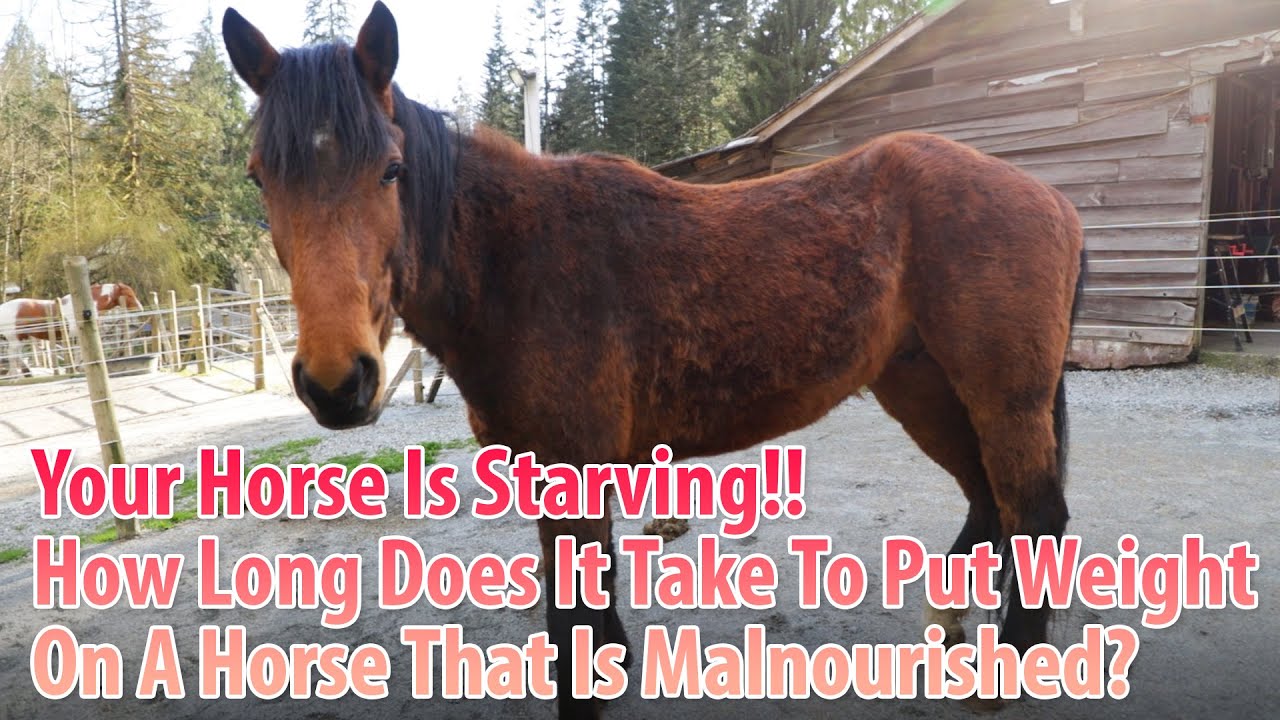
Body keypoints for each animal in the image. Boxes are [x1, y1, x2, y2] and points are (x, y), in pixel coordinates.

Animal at [0, 283, 143, 377]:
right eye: (129, 295)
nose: (140, 309)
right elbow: (79, 352)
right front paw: (78, 368)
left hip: (20, 339)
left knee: (15, 355)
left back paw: (24, 373)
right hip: (15, 339)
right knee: (12, 355)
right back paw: (16, 375)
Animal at [223, 4, 1085, 717]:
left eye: (392, 170)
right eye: (261, 177)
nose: (338, 382)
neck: (517, 265)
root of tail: (1051, 198)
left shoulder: (570, 467)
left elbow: (572, 611)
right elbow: (591, 590)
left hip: (1001, 397)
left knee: (1033, 515)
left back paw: (1007, 668)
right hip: (925, 388)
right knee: (991, 505)